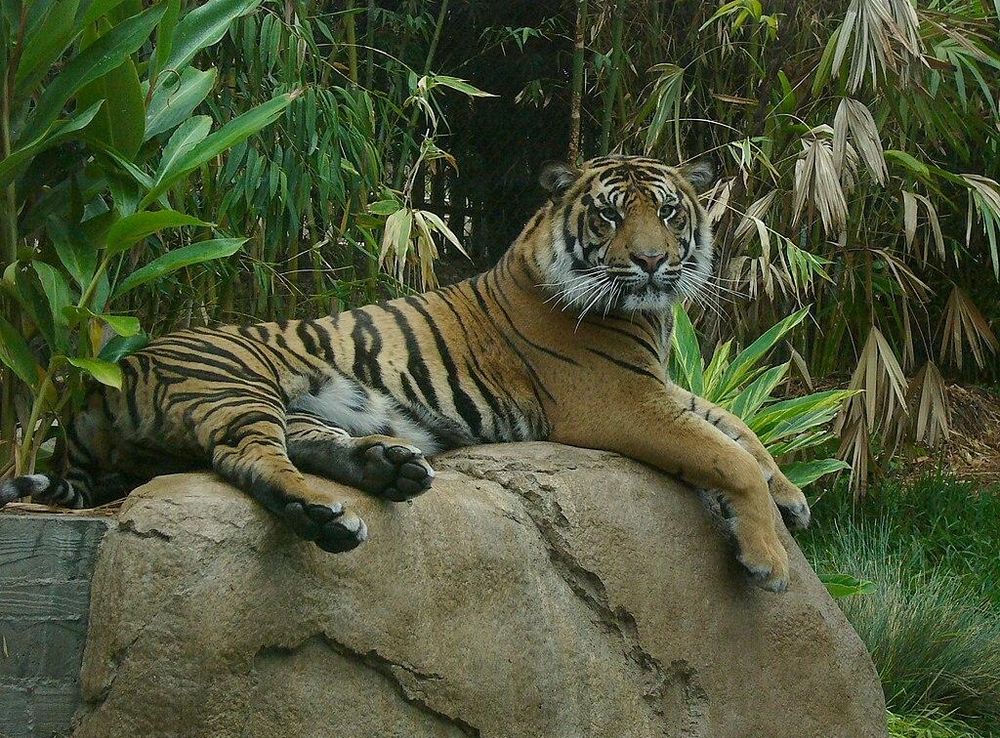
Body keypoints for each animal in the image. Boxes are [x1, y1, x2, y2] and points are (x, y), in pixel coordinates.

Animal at [0, 154, 809, 592]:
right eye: (610, 217)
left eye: (670, 213)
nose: (651, 262)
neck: (649, 315)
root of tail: (96, 380)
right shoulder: (622, 398)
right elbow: (724, 453)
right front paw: (769, 558)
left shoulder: (658, 385)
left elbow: (736, 426)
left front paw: (791, 498)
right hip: (235, 383)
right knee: (246, 458)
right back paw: (327, 517)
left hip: (295, 403)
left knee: (302, 444)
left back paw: (389, 469)